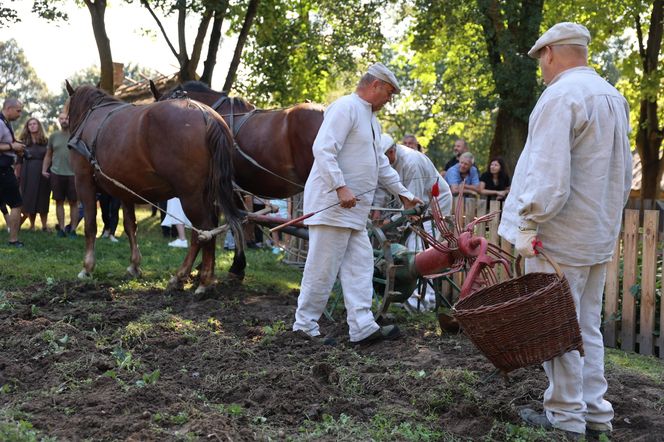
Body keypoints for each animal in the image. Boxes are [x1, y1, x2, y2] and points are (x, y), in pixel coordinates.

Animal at [65, 82, 245, 294]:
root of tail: (206, 114)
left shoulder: (84, 182)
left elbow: (90, 226)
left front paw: (87, 267)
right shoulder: (125, 190)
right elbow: (130, 226)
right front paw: (134, 265)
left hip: (189, 195)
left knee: (204, 230)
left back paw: (200, 280)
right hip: (205, 194)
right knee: (203, 232)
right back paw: (187, 276)